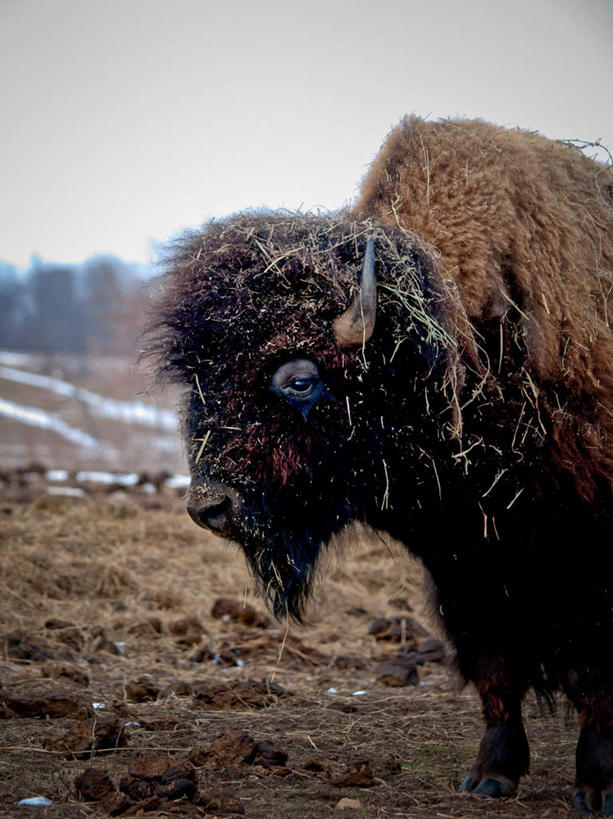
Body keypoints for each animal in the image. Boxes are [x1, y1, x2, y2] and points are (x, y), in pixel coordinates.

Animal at [147, 117, 612, 812]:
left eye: (300, 379)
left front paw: (597, 786)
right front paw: (490, 776)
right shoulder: (466, 565)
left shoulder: (582, 559)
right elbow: (495, 669)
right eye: (199, 385)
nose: (211, 507)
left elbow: (592, 672)